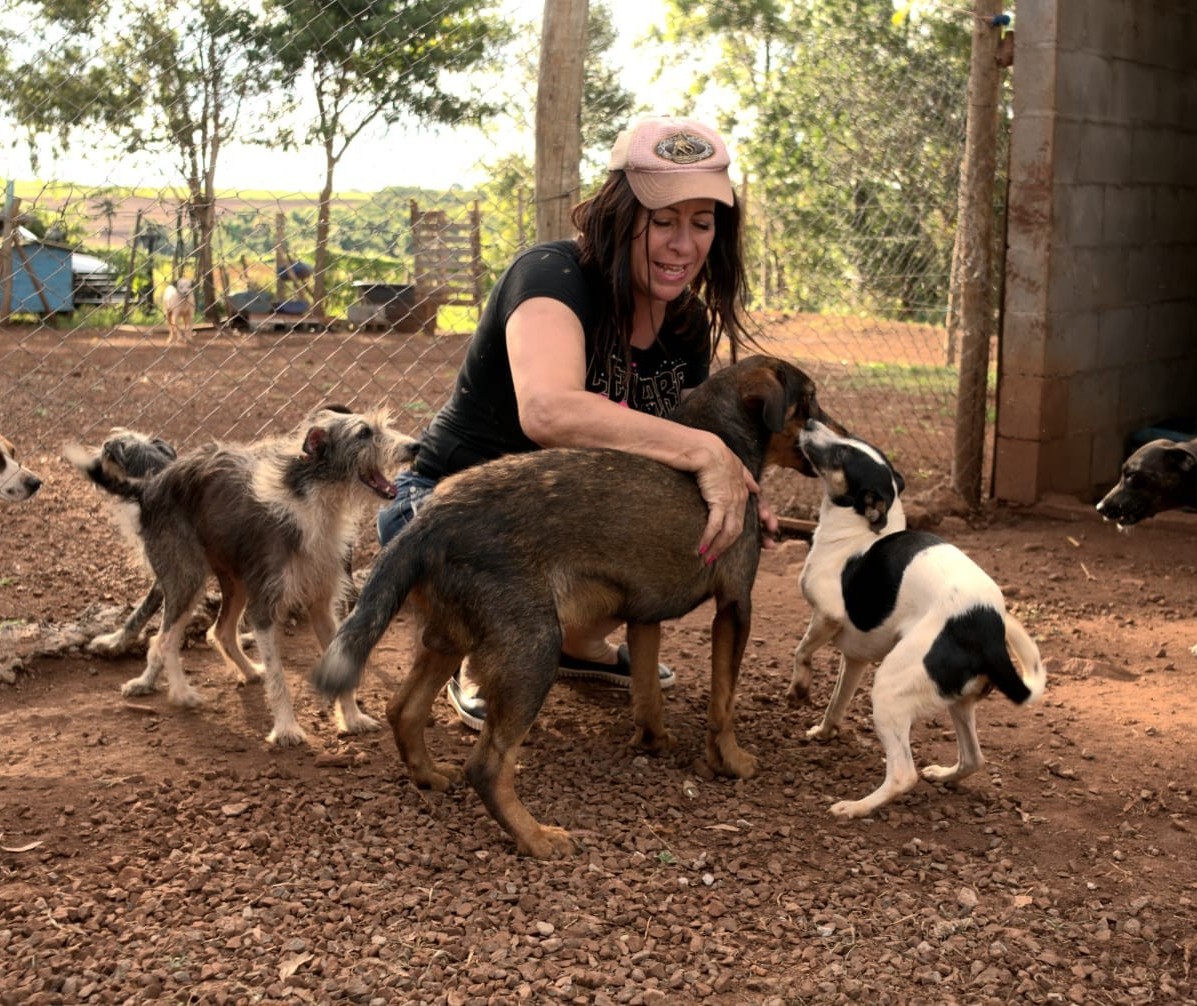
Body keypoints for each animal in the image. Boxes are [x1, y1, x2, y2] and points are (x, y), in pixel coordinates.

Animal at [70, 404, 418, 742]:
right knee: (164, 638)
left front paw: (352, 718)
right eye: (364, 433)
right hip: (187, 581)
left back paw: (249, 671)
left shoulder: (321, 605)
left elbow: (338, 661)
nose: (415, 446)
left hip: (235, 582)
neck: (313, 499)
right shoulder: (263, 608)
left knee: (220, 631)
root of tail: (149, 486)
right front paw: (286, 729)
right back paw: (182, 694)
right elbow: (279, 678)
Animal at [308, 354, 833, 857]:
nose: (839, 433)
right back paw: (535, 838)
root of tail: (432, 519)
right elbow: (723, 702)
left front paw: (654, 740)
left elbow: (648, 690)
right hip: (533, 650)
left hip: (448, 638)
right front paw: (732, 761)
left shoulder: (644, 615)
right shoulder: (736, 605)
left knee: (404, 710)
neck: (721, 435)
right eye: (809, 401)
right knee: (486, 765)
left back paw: (429, 776)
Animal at [785, 421, 1048, 819]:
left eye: (843, 452)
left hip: (890, 688)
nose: (810, 422)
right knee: (974, 758)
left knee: (902, 775)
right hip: (957, 702)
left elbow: (801, 652)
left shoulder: (827, 614)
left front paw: (799, 689)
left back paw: (856, 807)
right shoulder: (855, 659)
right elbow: (836, 704)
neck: (857, 533)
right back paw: (944, 775)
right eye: (851, 441)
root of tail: (987, 631)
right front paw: (823, 732)